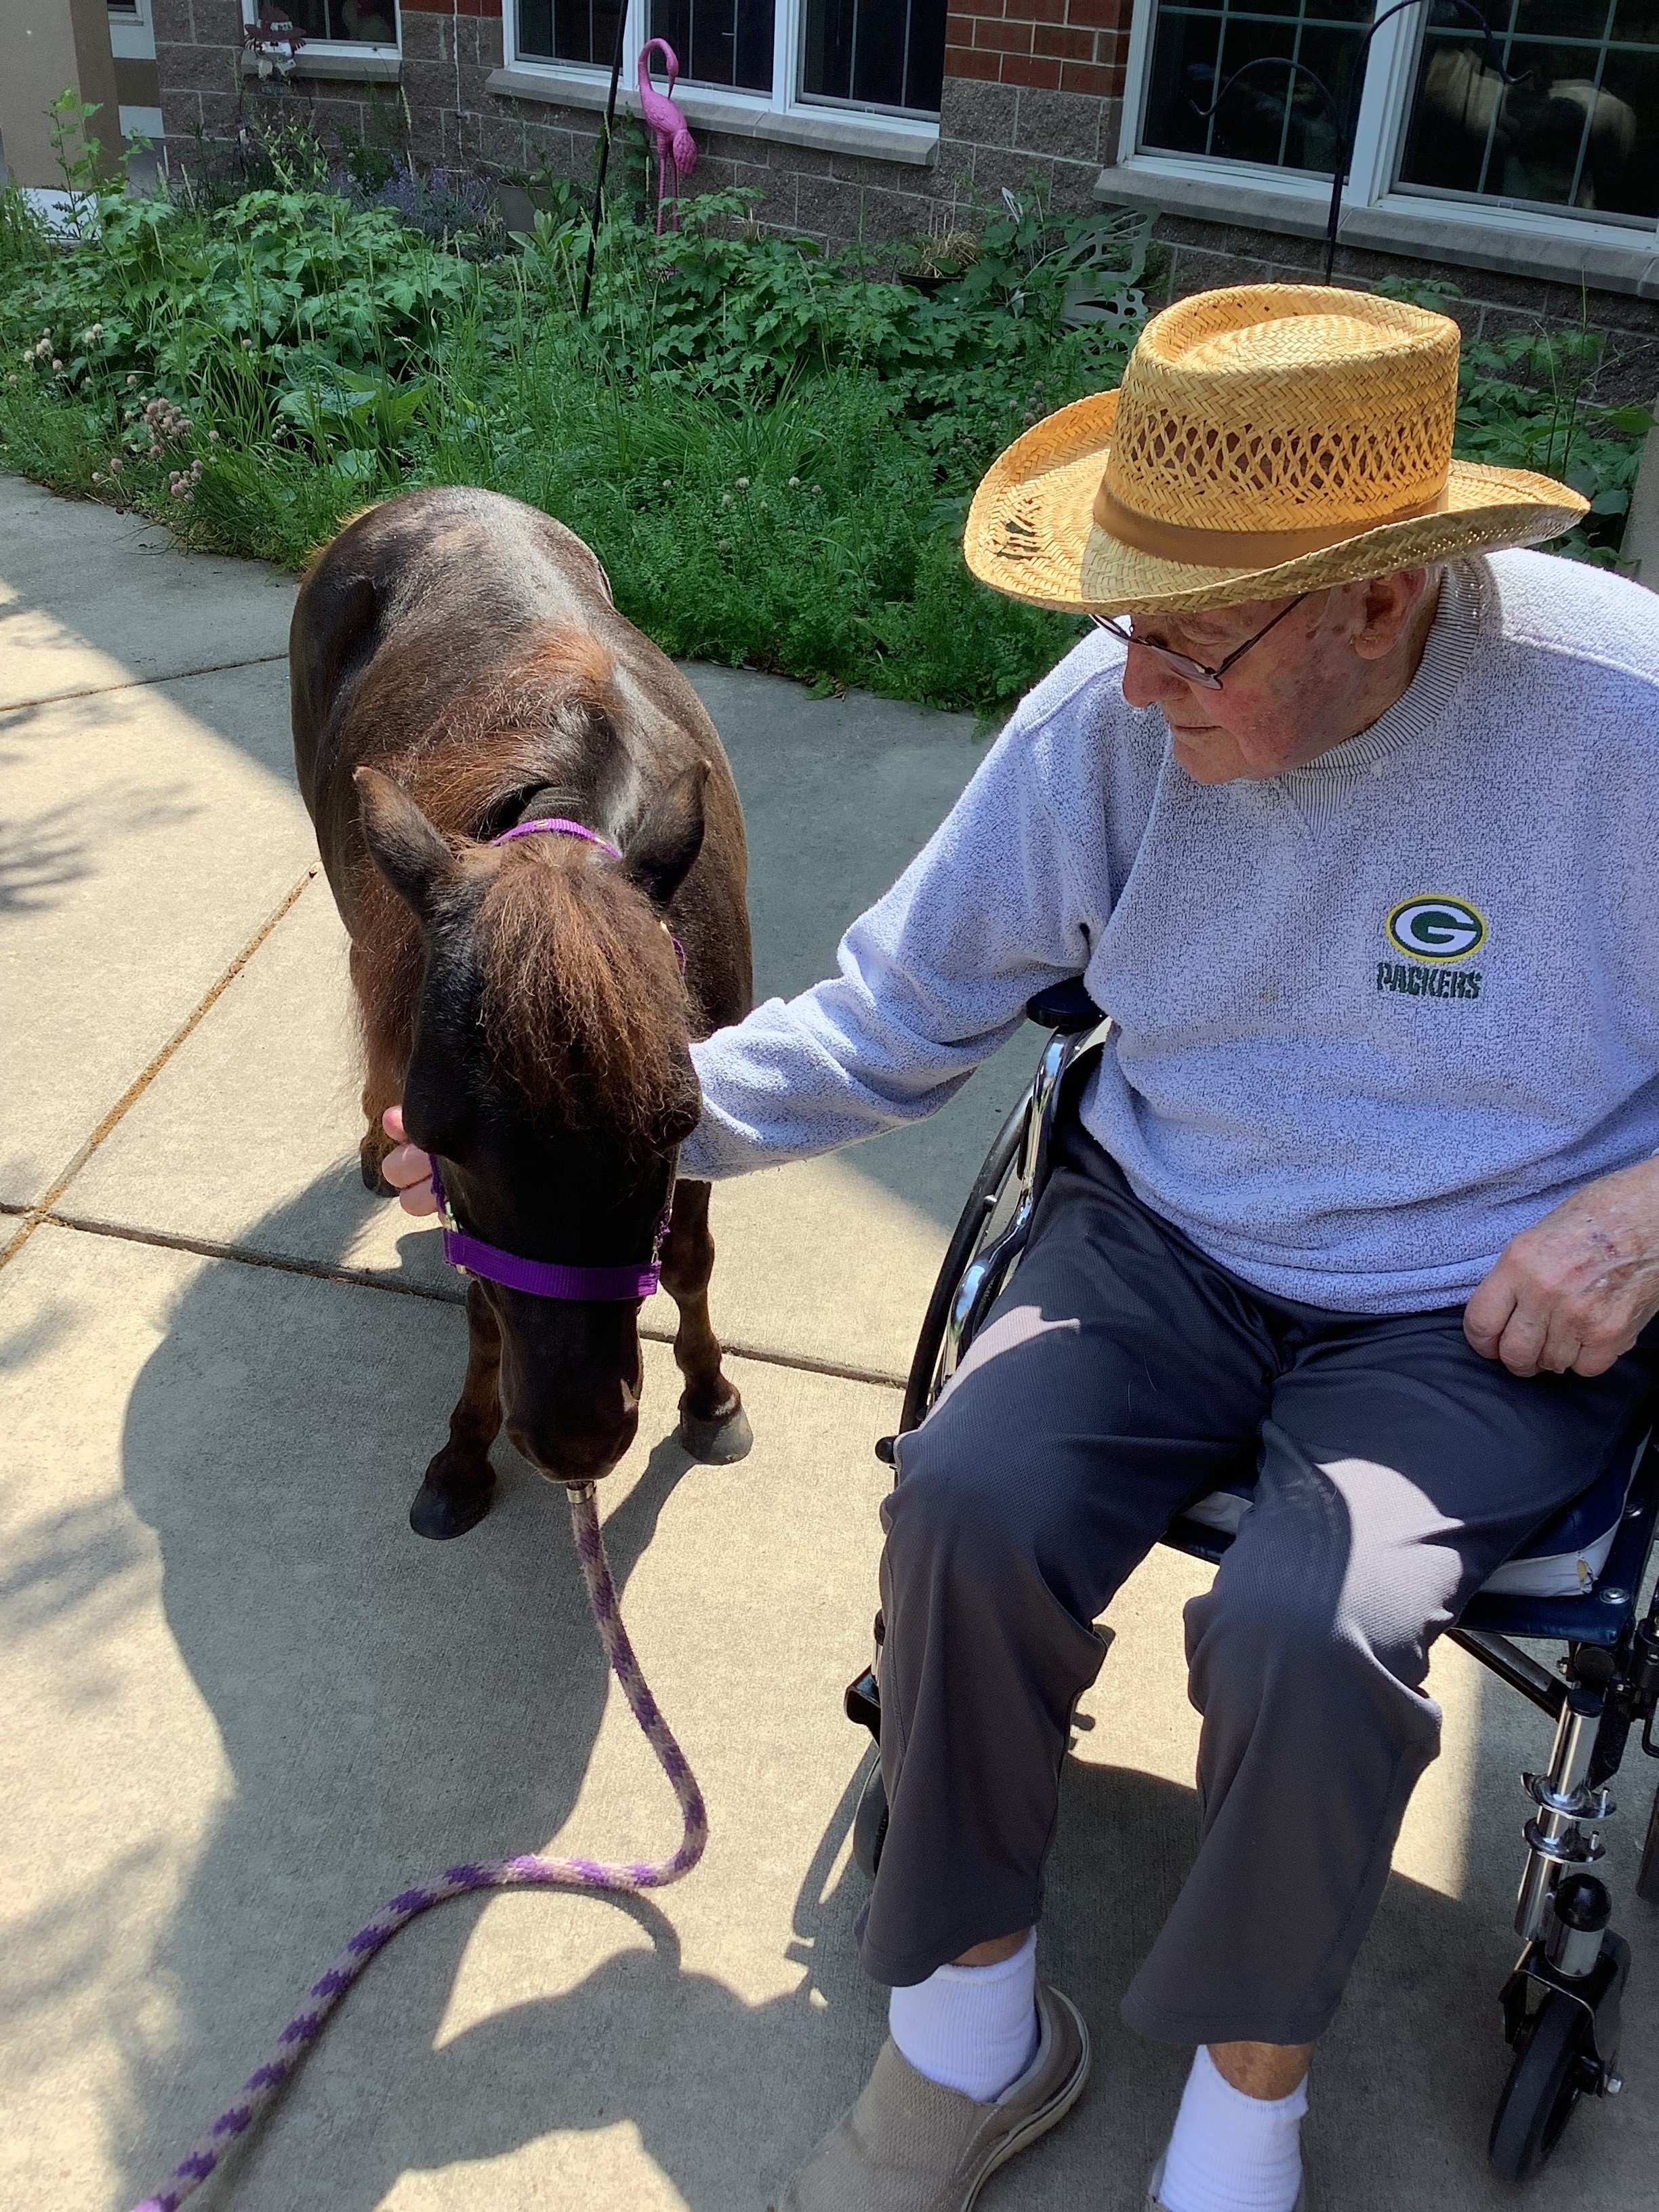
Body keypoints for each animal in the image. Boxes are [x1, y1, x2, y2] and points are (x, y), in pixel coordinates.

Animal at [291, 487, 752, 1539]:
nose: (577, 1445)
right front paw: (464, 1456)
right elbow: (484, 1301)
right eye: (437, 1137)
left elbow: (690, 1258)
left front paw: (710, 1398)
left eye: (673, 1127)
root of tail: (417, 499)